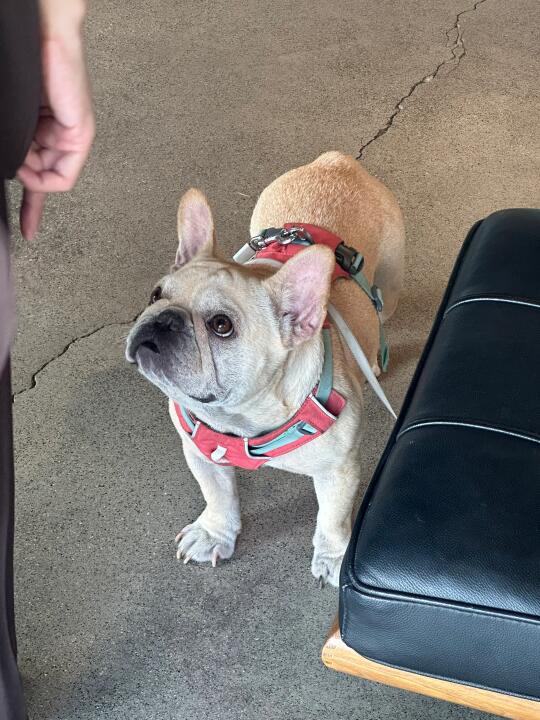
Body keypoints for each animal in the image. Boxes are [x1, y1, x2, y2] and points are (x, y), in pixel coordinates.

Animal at [126, 151, 404, 586]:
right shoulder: (200, 453)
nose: (163, 319)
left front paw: (333, 557)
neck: (242, 416)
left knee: (381, 314)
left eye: (221, 325)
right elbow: (217, 495)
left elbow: (333, 518)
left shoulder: (337, 471)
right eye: (155, 295)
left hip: (389, 284)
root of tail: (337, 163)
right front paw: (214, 533)